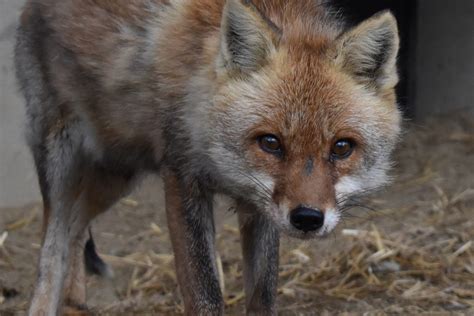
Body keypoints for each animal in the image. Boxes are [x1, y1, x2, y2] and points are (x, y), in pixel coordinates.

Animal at [13, 0, 400, 314]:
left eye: (342, 147)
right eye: (271, 142)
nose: (307, 218)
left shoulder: (260, 204)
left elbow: (263, 296)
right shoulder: (182, 177)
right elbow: (205, 295)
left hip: (116, 176)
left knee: (76, 231)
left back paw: (74, 304)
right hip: (62, 161)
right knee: (52, 251)